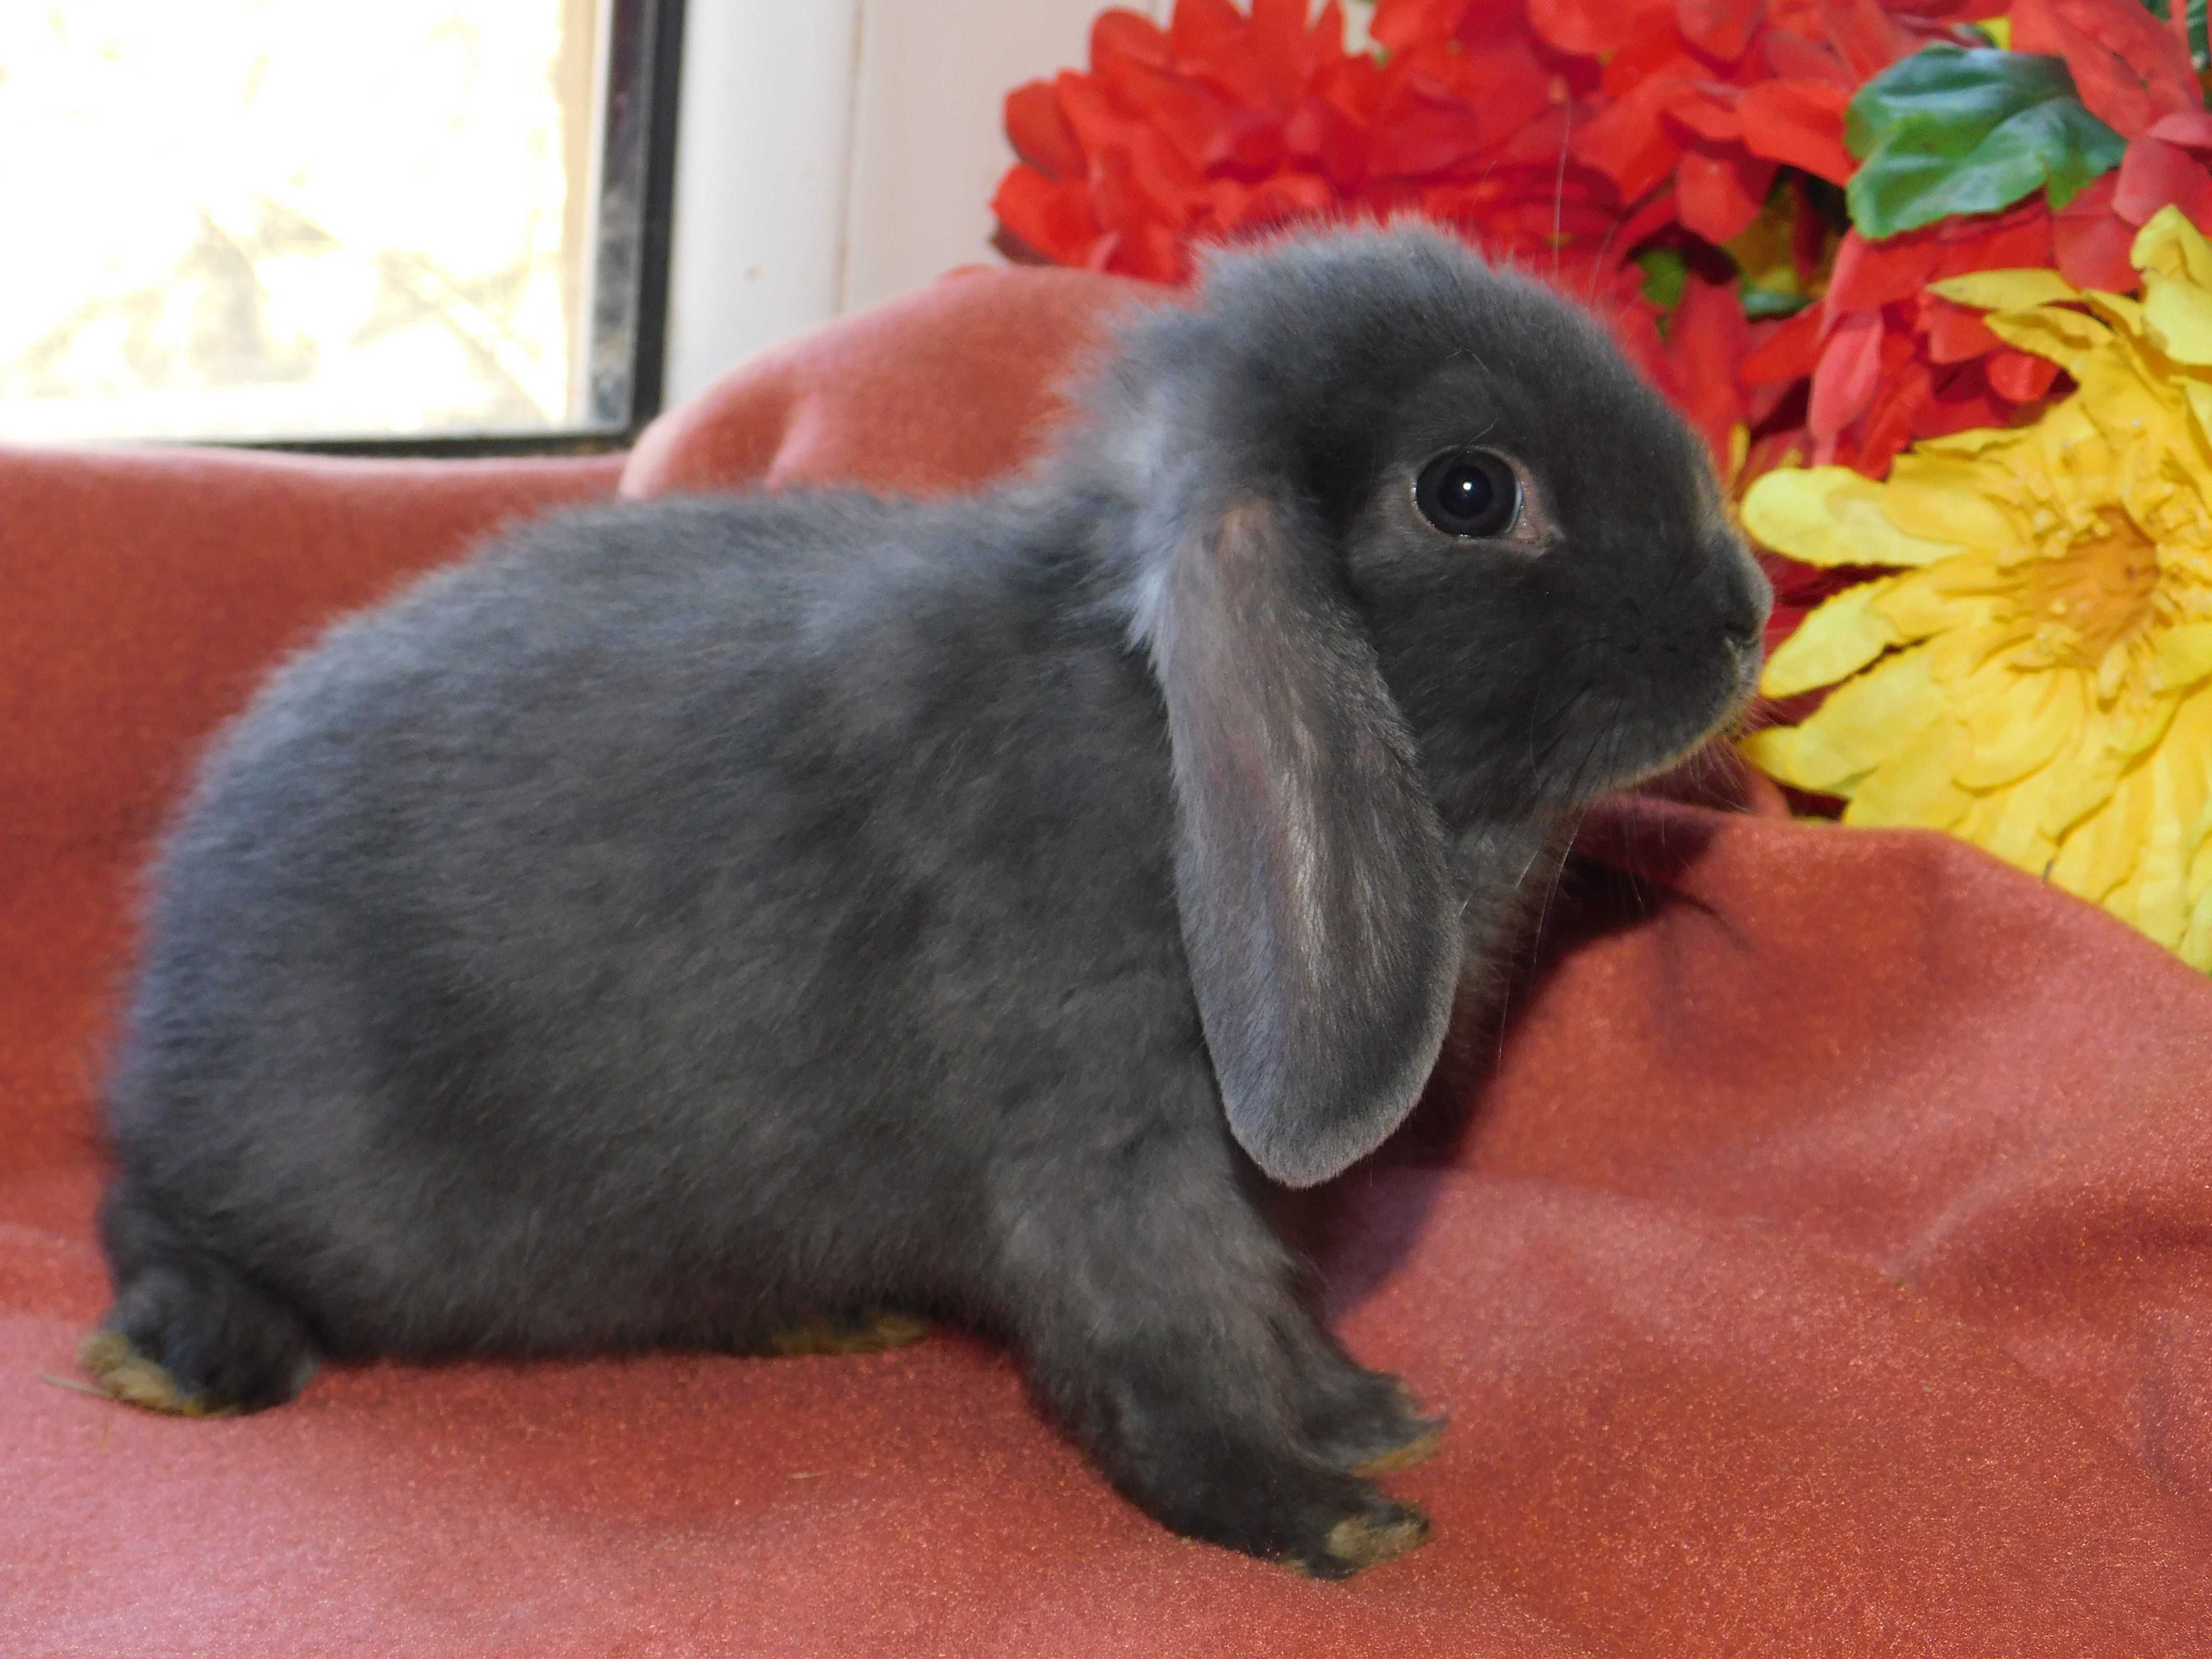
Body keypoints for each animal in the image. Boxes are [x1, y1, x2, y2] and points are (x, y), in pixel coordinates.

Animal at [86, 228, 1769, 1575]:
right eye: (1469, 491)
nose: (1745, 616)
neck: (1151, 728)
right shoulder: (1104, 1152)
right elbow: (1174, 1332)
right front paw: (1318, 1511)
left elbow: (1272, 1302)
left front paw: (1365, 1416)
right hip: (306, 1177)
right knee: (156, 1224)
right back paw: (184, 1358)